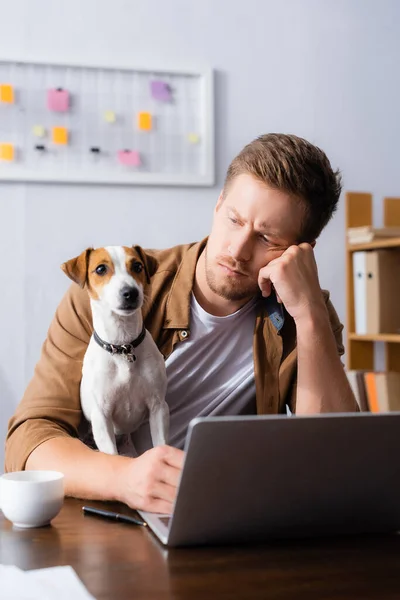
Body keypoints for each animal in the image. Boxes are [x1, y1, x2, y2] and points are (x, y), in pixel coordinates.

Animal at [61, 244, 169, 454]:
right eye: (101, 269)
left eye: (137, 266)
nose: (131, 292)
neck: (122, 346)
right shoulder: (102, 416)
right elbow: (111, 453)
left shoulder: (158, 407)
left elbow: (162, 445)